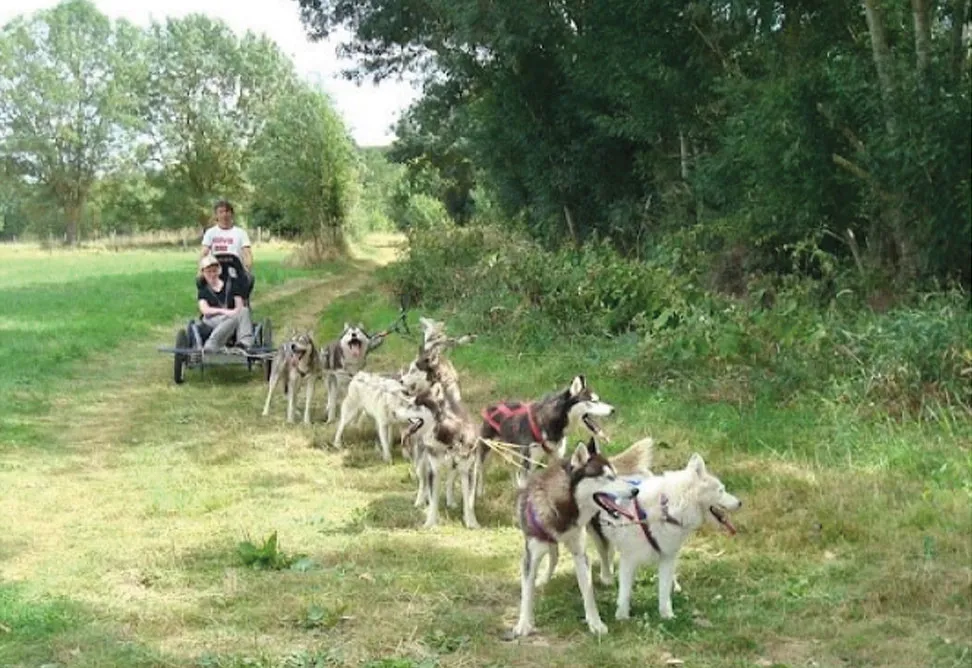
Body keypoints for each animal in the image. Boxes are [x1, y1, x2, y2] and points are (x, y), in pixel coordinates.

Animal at [394, 384, 482, 528]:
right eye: (408, 403)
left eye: (415, 405)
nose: (393, 413)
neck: (448, 438)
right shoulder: (433, 470)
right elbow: (433, 500)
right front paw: (429, 524)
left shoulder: (468, 470)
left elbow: (469, 501)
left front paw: (472, 523)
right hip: (421, 464)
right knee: (423, 482)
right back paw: (420, 501)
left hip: (454, 467)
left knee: (449, 481)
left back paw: (450, 502)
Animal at [480, 376, 616, 486]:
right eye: (593, 401)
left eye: (598, 399)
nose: (613, 409)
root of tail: (492, 407)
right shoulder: (528, 466)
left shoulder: (557, 458)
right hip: (485, 455)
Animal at [508, 436, 636, 640]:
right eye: (608, 478)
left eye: (615, 475)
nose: (635, 491)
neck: (563, 506)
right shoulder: (531, 554)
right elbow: (527, 593)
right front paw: (524, 624)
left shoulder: (580, 553)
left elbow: (588, 591)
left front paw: (595, 623)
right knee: (554, 555)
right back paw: (544, 578)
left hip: (594, 528)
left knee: (604, 550)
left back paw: (607, 576)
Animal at [584, 448, 744, 620]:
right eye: (721, 490)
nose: (740, 502)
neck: (666, 509)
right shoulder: (629, 559)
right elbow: (625, 592)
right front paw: (622, 616)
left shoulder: (667, 557)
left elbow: (664, 592)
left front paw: (667, 616)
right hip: (596, 534)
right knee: (604, 553)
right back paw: (607, 577)